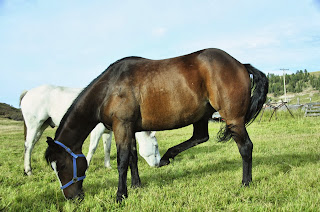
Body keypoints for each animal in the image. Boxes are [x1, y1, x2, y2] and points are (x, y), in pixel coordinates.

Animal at [19, 84, 160, 176]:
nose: (158, 164)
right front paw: (86, 167)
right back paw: (28, 170)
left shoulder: (107, 133)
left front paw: (108, 166)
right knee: (29, 146)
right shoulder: (96, 132)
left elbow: (107, 148)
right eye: (156, 145)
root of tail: (28, 92)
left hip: (41, 127)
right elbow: (92, 148)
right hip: (34, 126)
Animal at [44, 48, 268, 202]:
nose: (71, 198)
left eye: (61, 165)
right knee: (200, 137)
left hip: (233, 118)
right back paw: (166, 157)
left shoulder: (121, 126)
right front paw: (136, 186)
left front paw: (120, 195)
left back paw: (246, 182)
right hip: (201, 116)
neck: (110, 88)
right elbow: (132, 158)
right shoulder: (129, 128)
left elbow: (122, 160)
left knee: (245, 147)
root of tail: (241, 64)